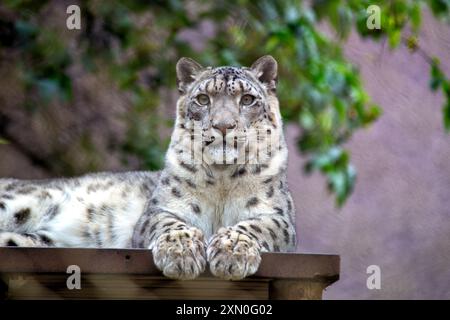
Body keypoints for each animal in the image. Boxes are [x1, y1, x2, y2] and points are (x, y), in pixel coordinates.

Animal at [0, 55, 298, 280]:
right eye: (203, 99)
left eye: (247, 99)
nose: (223, 126)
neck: (222, 181)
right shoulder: (160, 209)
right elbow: (170, 223)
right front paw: (181, 254)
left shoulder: (279, 217)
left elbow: (256, 226)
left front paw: (231, 252)